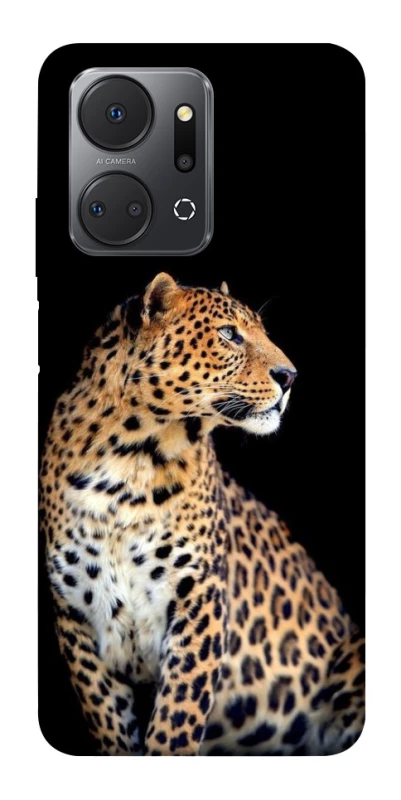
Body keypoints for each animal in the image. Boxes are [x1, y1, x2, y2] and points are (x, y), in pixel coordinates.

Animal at [40, 272, 365, 756]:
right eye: (229, 334)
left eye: (262, 331)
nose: (290, 376)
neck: (128, 461)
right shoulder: (76, 617)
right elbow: (111, 723)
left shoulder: (200, 598)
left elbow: (176, 718)